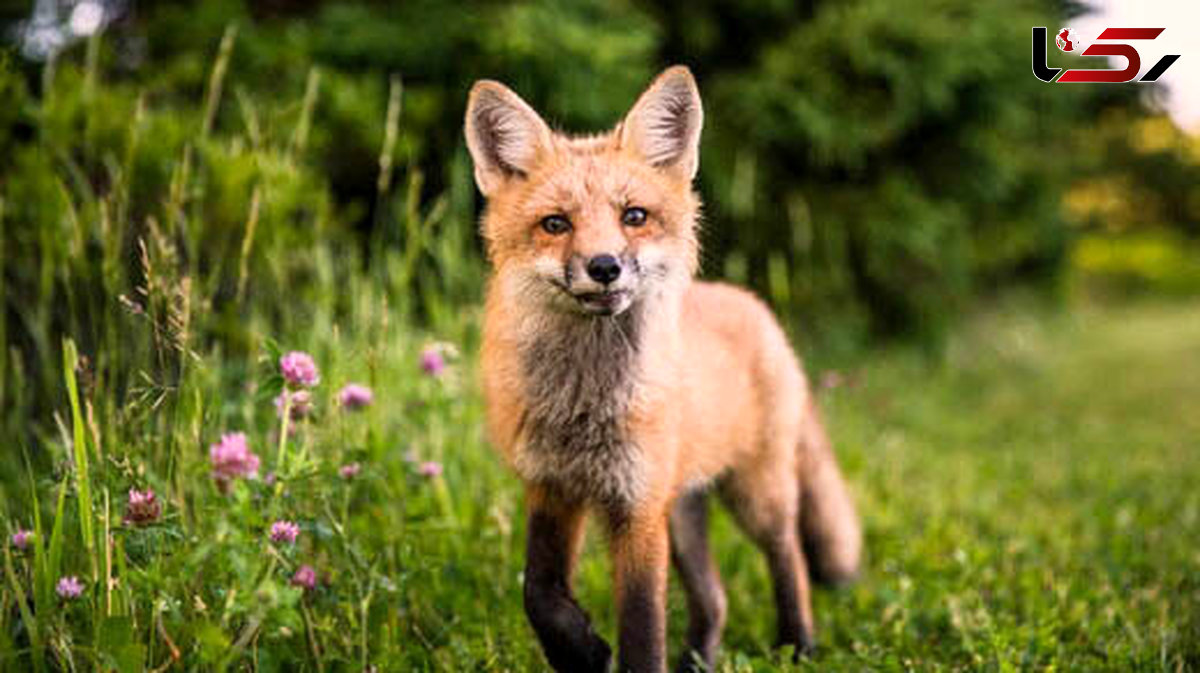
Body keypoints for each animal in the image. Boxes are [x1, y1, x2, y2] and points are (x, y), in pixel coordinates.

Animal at [460, 64, 864, 671]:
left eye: (634, 217)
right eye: (555, 224)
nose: (603, 266)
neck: (584, 407)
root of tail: (753, 304)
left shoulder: (638, 505)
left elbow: (642, 626)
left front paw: (608, 652)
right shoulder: (553, 487)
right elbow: (539, 592)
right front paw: (581, 651)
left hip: (755, 493)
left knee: (788, 554)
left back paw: (798, 643)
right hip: (685, 510)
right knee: (715, 597)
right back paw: (700, 659)